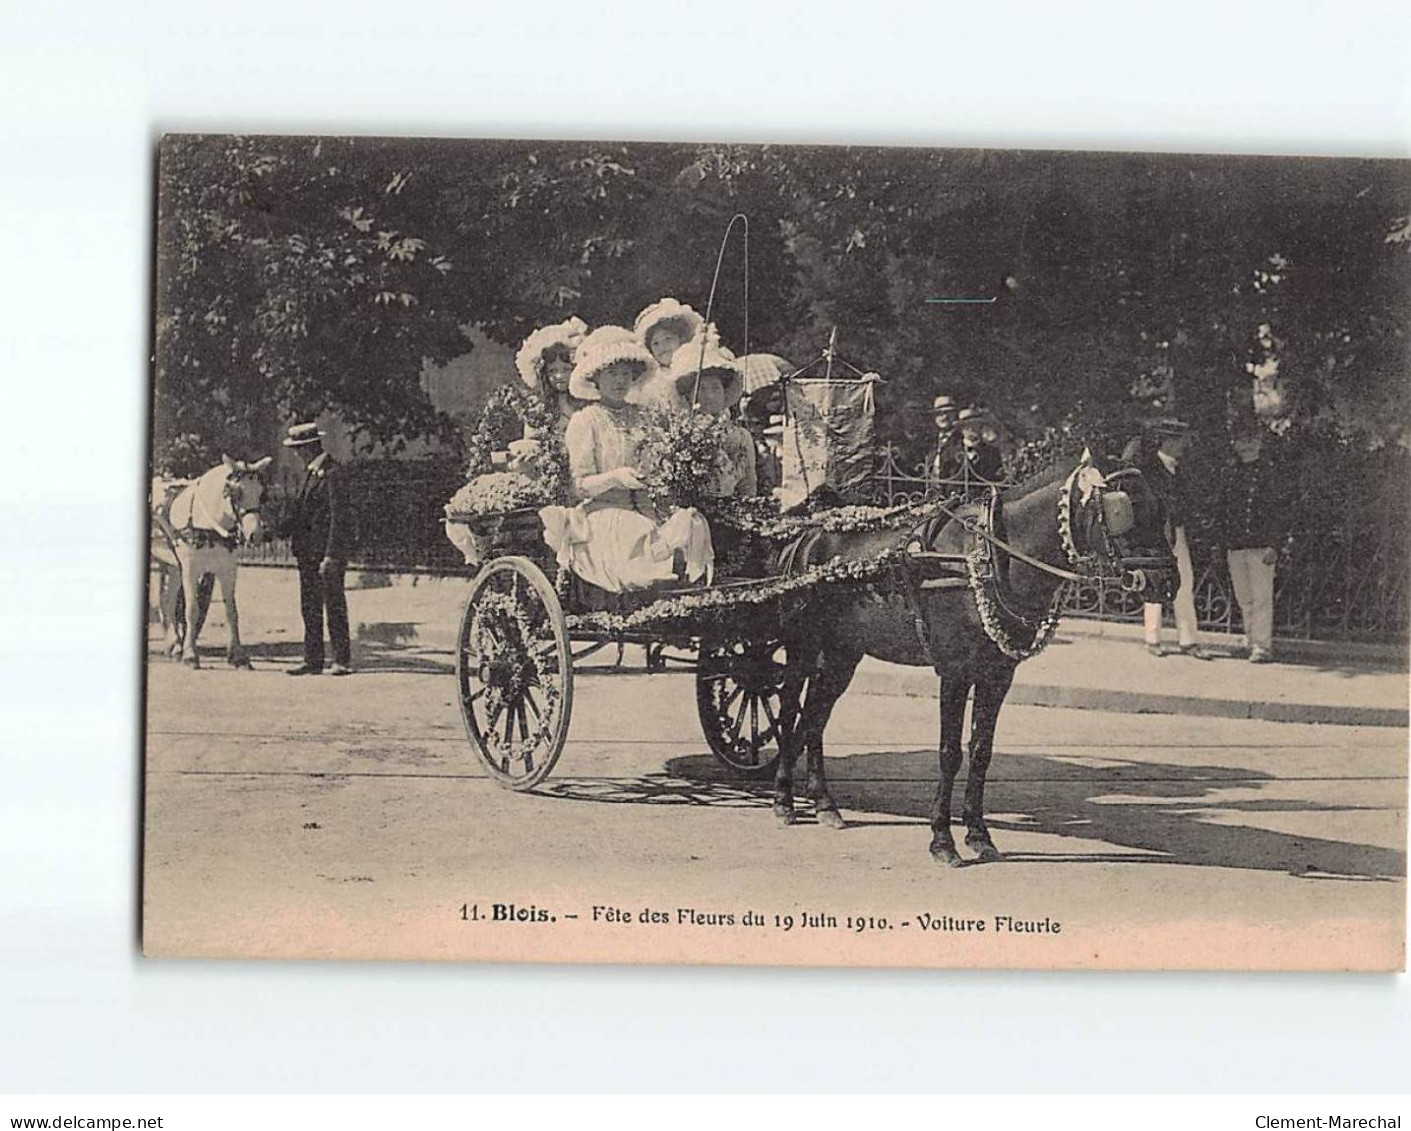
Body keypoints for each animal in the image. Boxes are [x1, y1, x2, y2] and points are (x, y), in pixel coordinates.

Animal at [157, 454, 272, 665]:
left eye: (262, 493)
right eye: (236, 492)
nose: (256, 534)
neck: (207, 523)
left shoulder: (228, 569)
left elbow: (232, 611)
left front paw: (237, 654)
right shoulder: (190, 569)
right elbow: (192, 610)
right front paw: (190, 653)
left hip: (172, 565)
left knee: (167, 600)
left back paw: (174, 645)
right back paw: (177, 645)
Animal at [767, 451, 1173, 863]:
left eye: (1160, 509)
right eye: (1127, 511)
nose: (1169, 583)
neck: (987, 558)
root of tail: (808, 533)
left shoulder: (997, 675)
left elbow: (981, 751)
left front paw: (978, 834)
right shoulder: (955, 673)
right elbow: (950, 753)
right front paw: (942, 839)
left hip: (842, 652)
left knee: (816, 715)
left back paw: (824, 804)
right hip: (803, 646)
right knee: (790, 709)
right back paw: (783, 799)